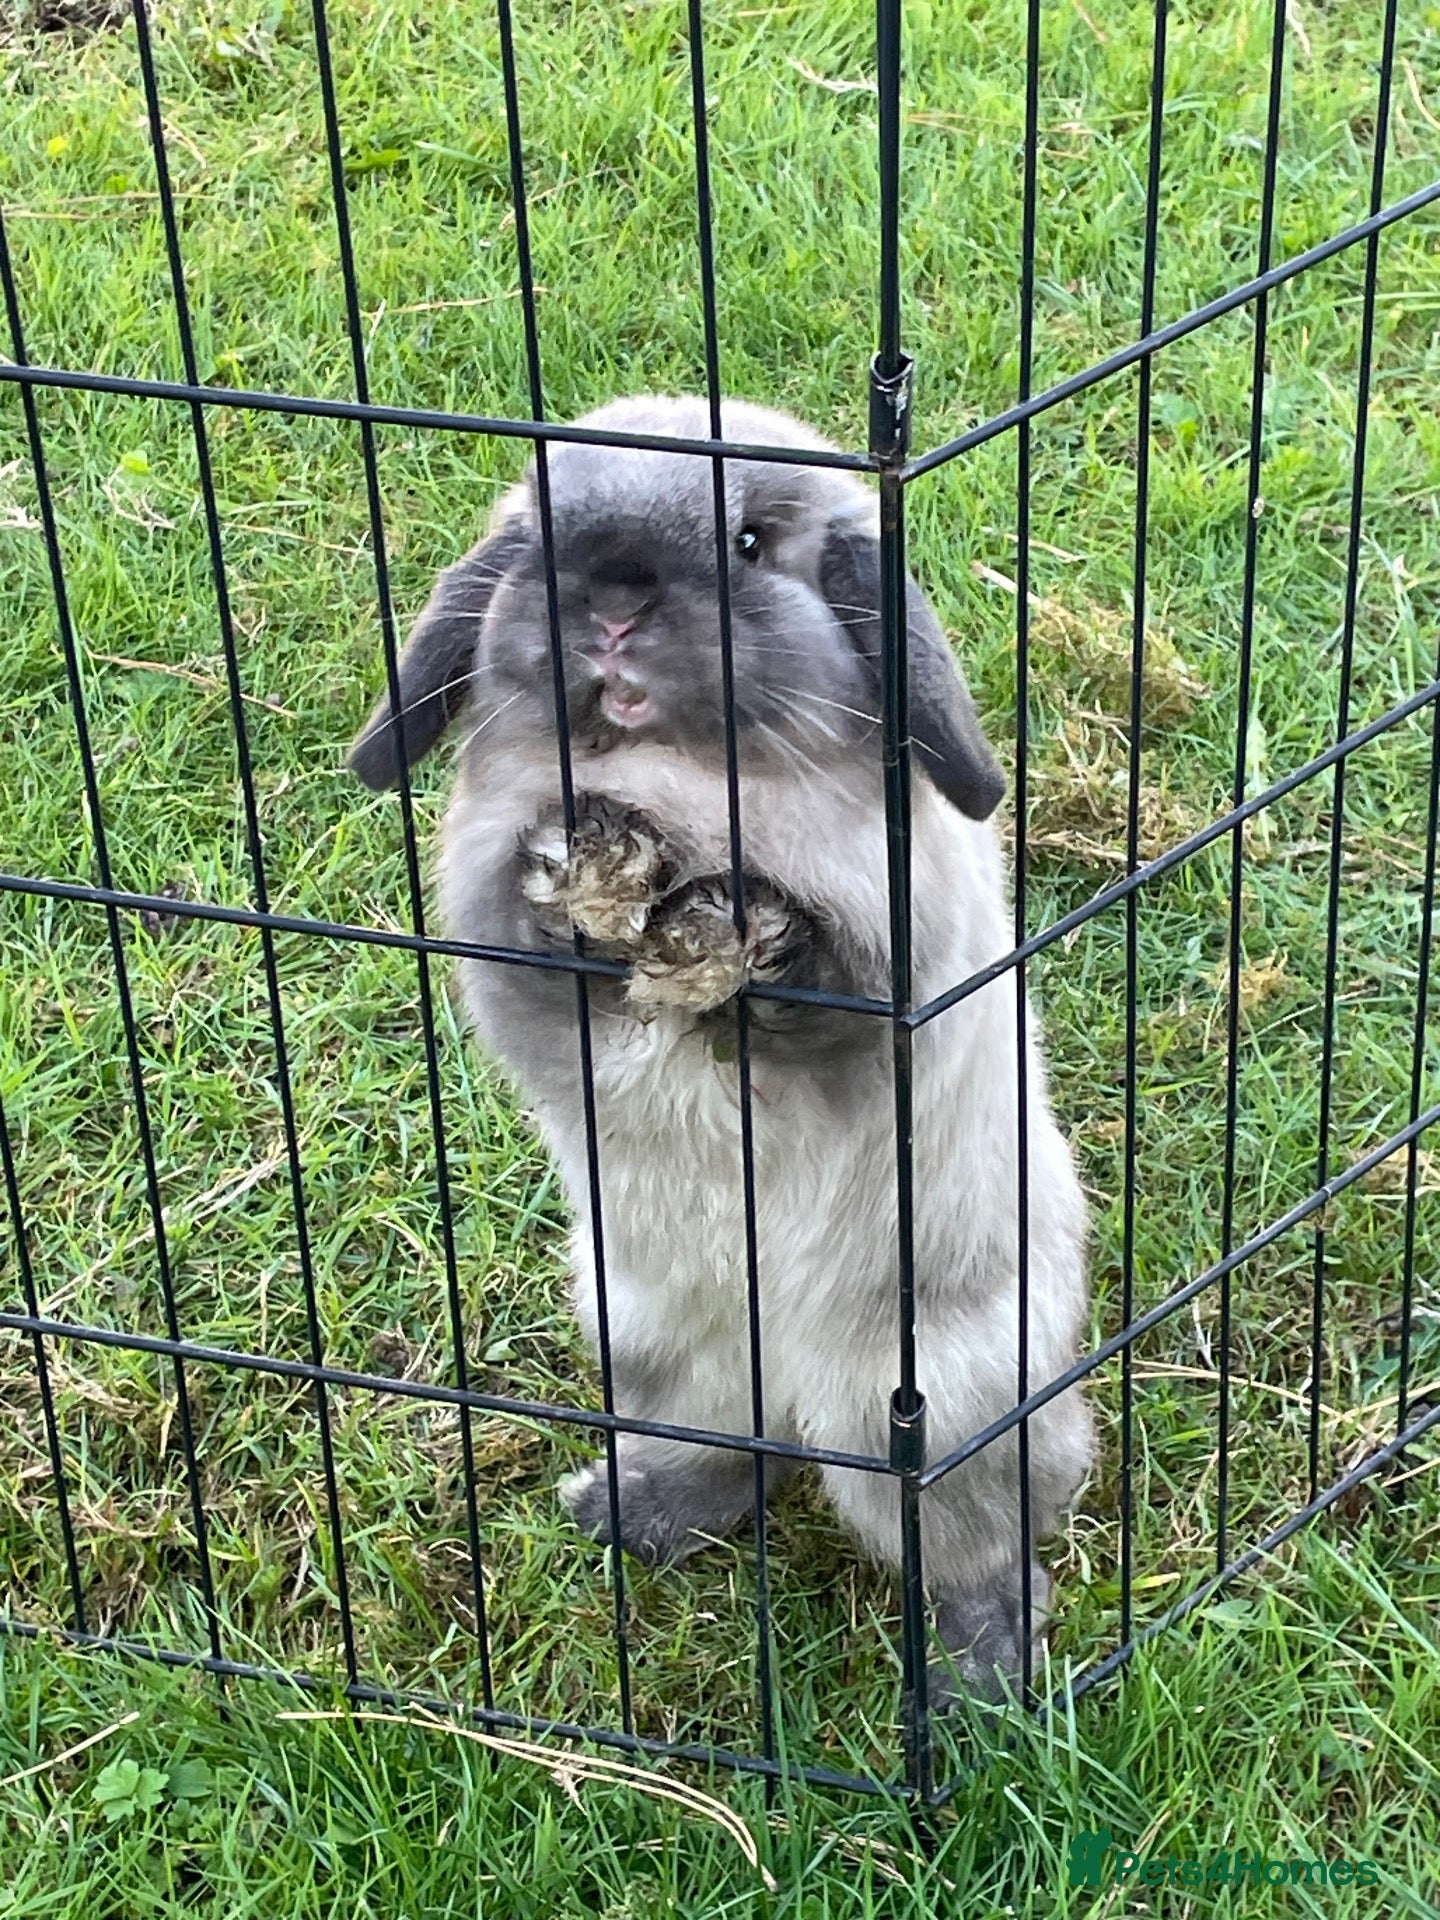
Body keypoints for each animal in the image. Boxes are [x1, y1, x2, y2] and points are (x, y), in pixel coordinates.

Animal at [347, 395, 1093, 1703]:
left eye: (750, 543)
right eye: (543, 530)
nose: (612, 598)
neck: (680, 776)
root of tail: (787, 1386)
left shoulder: (897, 969)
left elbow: (827, 995)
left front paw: (736, 939)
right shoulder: (493, 927)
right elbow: (539, 941)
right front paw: (597, 879)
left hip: (947, 1409)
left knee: (979, 1541)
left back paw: (987, 1678)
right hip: (648, 1339)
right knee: (732, 1461)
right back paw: (623, 1512)